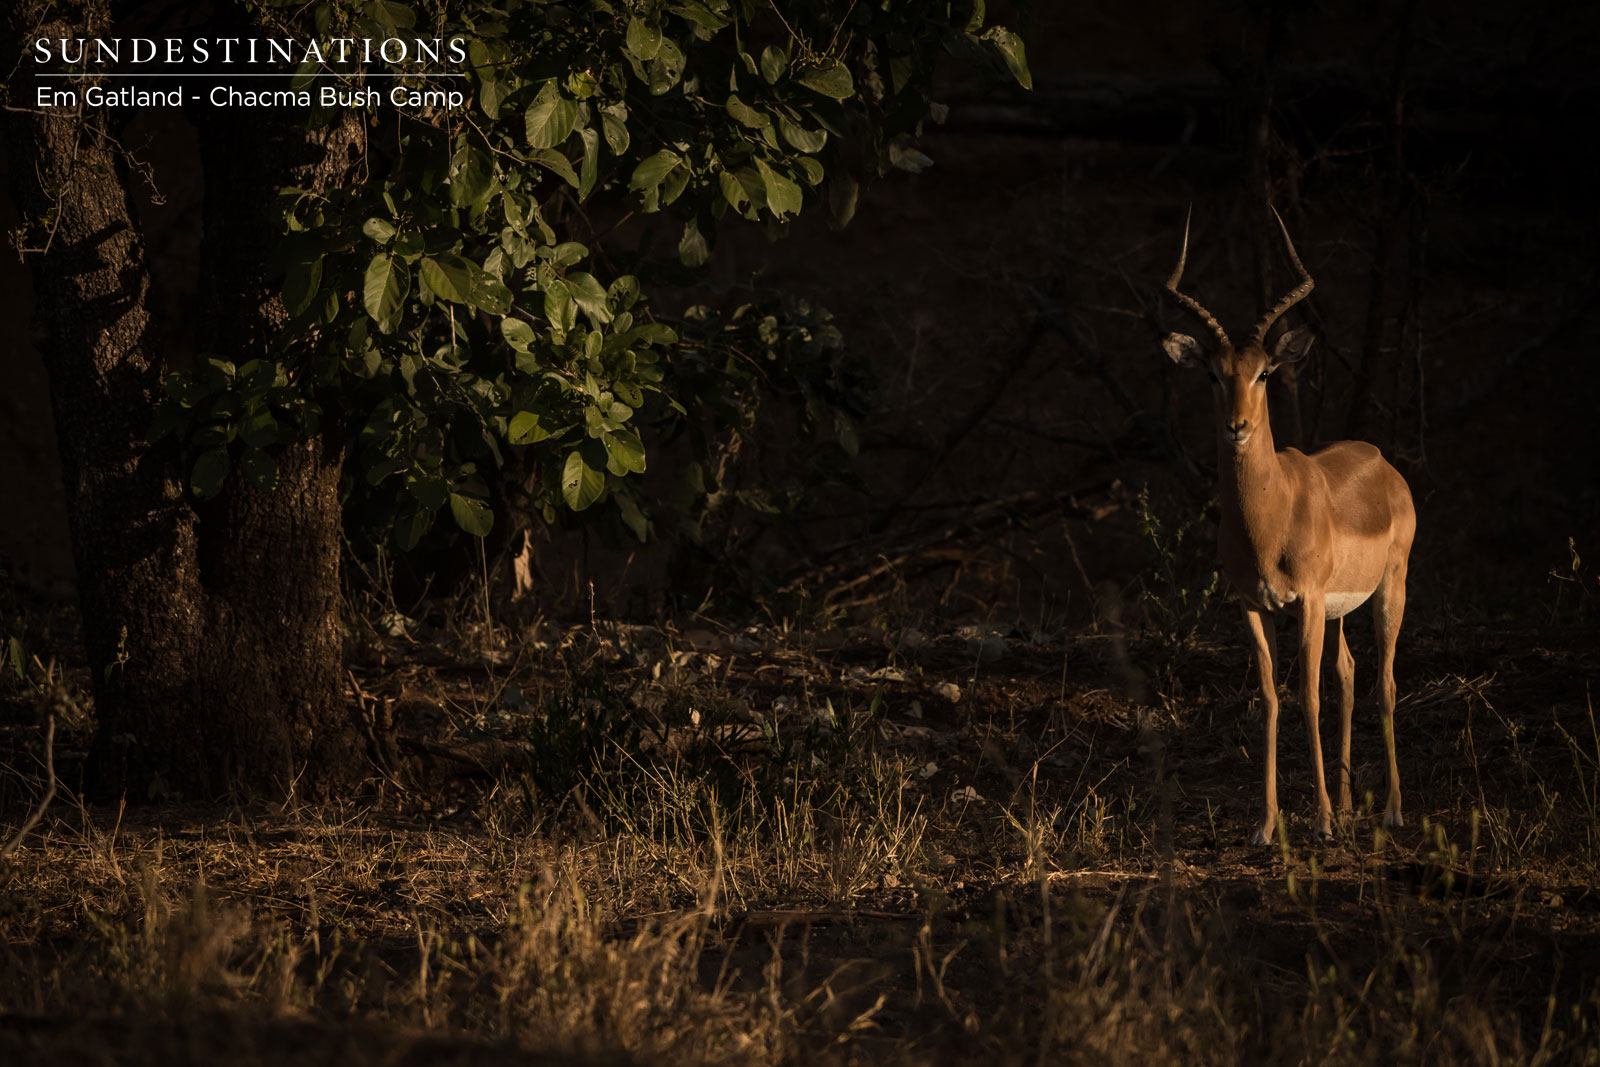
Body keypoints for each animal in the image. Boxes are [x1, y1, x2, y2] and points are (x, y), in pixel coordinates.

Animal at [1161, 208, 1416, 845]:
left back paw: (1392, 811)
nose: (1237, 427)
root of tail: (1382, 462)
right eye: (1213, 373)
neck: (1269, 520)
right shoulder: (1254, 606)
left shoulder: (1306, 601)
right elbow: (1272, 698)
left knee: (1385, 683)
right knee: (1349, 674)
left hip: (1390, 588)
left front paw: (1320, 822)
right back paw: (1350, 806)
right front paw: (1266, 824)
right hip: (1343, 608)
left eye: (1264, 373)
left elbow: (1307, 696)